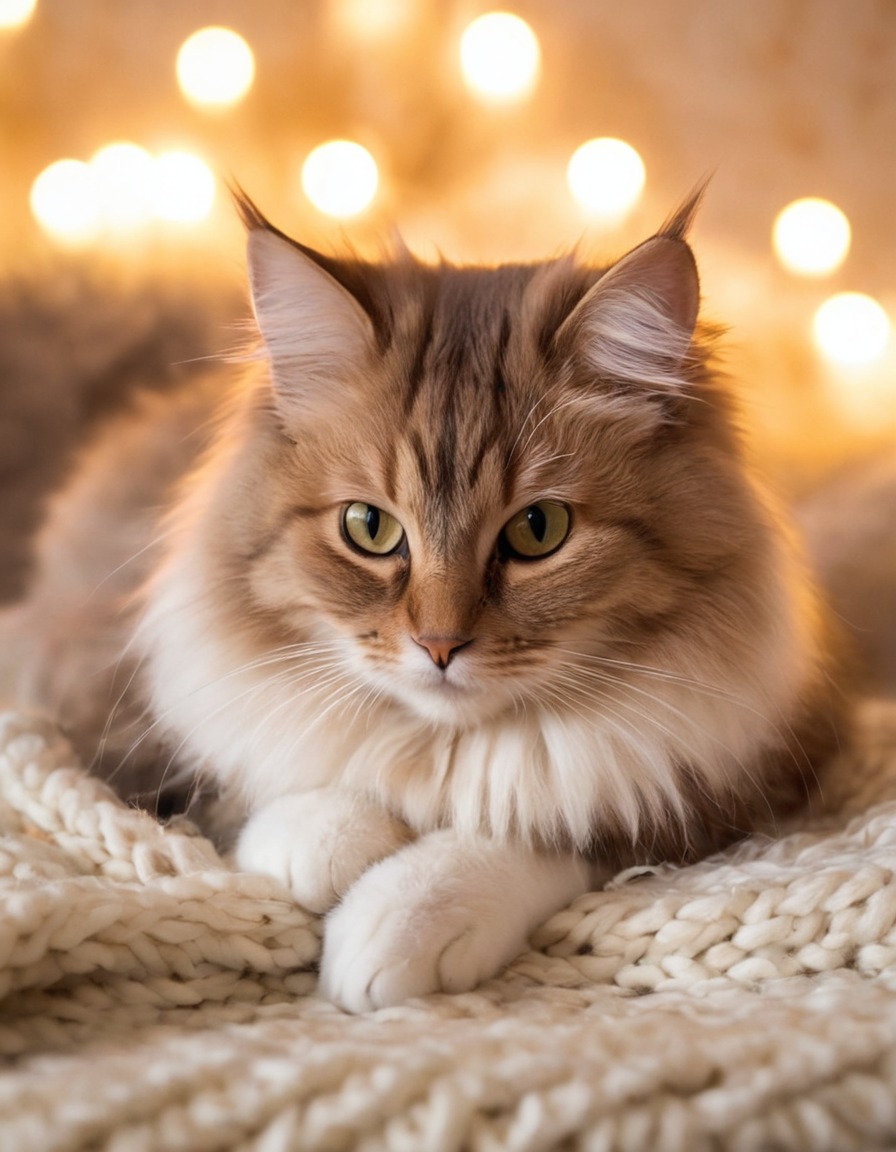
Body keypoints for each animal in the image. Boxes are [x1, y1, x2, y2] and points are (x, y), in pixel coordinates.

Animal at [0, 188, 843, 1009]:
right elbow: (249, 793)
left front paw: (395, 921)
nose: (439, 646)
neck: (438, 749)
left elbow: (543, 829)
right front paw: (332, 840)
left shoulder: (732, 782)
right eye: (368, 527)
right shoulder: (119, 727)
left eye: (539, 529)